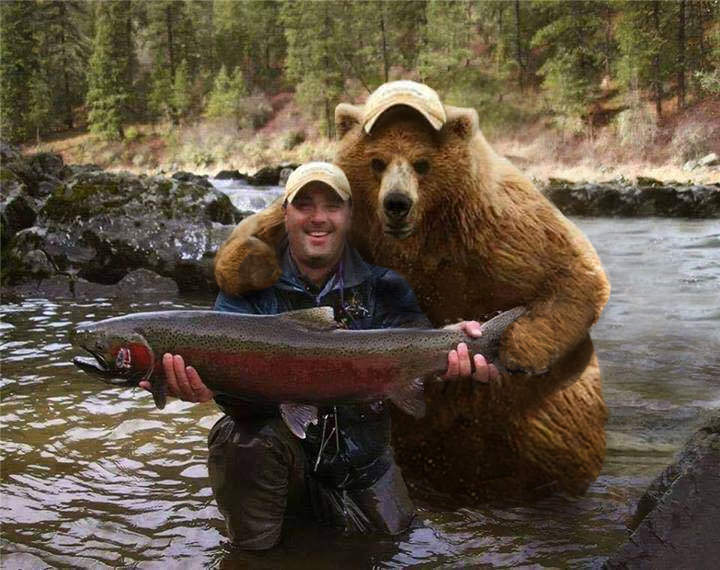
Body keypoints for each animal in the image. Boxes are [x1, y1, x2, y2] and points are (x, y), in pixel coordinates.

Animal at [215, 82, 612, 500]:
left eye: (422, 163)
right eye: (377, 162)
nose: (396, 204)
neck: (421, 238)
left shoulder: (499, 226)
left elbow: (576, 273)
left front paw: (519, 350)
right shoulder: (363, 220)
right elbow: (252, 233)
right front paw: (253, 263)